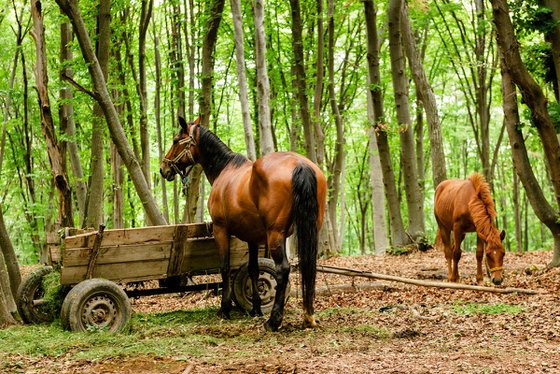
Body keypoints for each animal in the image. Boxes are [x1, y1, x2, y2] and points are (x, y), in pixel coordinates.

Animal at [160, 117, 326, 330]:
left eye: (175, 141)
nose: (163, 169)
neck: (225, 169)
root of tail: (299, 164)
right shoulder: (252, 237)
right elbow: (253, 270)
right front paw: (255, 308)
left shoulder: (220, 230)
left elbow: (224, 268)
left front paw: (224, 309)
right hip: (311, 230)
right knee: (308, 266)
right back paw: (308, 316)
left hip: (275, 235)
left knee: (283, 270)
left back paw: (274, 321)